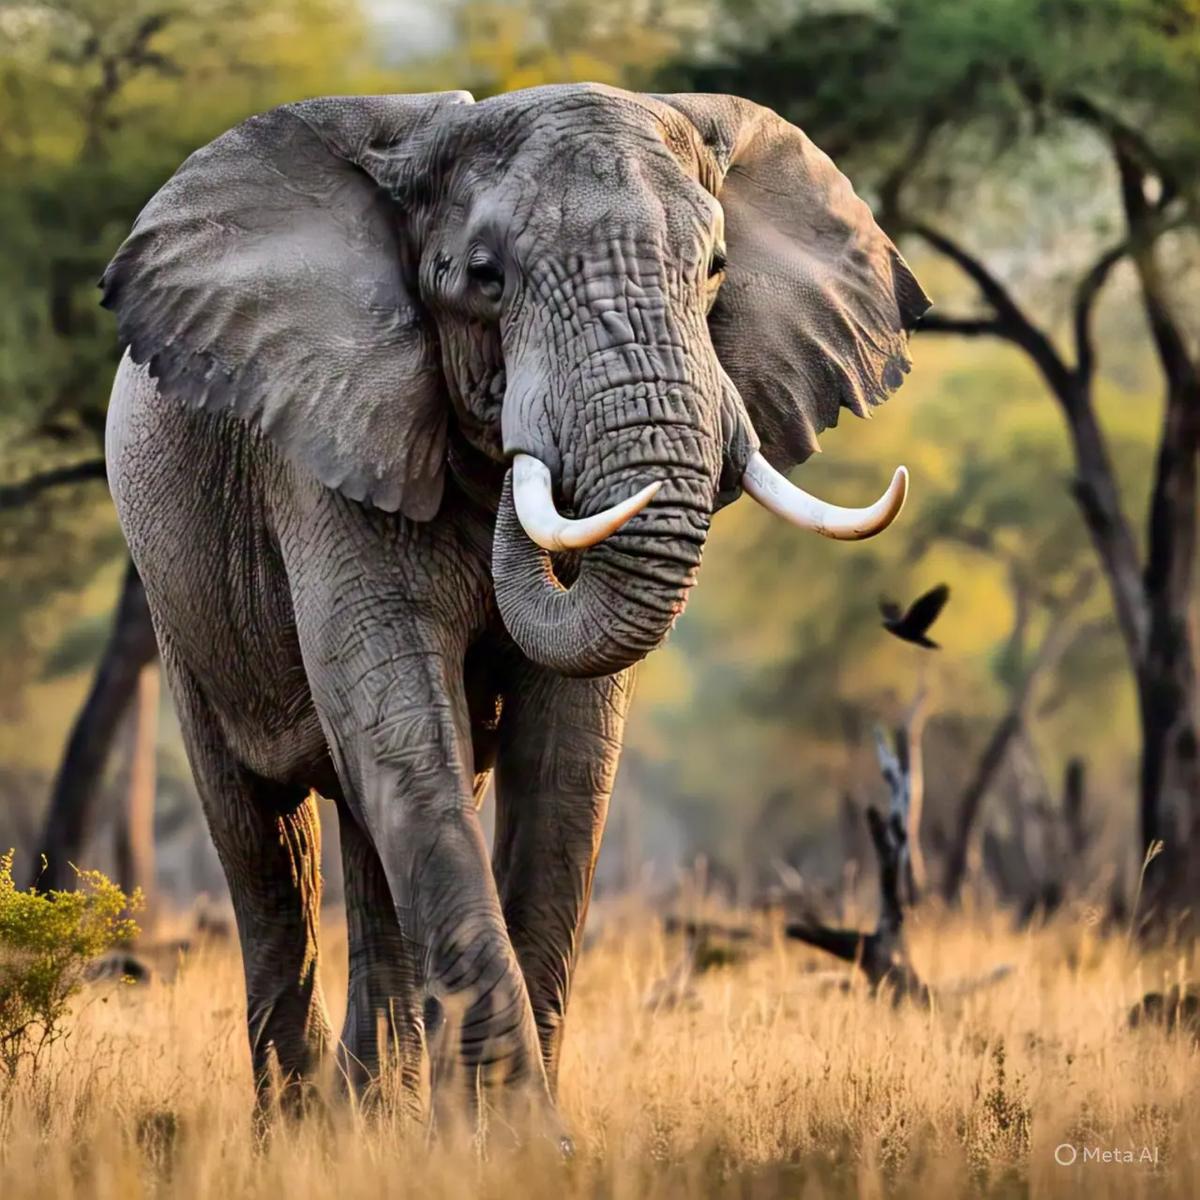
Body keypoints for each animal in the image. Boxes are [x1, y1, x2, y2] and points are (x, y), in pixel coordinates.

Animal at [101, 83, 928, 1132]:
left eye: (715, 271)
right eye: (484, 278)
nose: (515, 453)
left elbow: (564, 761)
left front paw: (502, 1137)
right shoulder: (324, 443)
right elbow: (402, 729)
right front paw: (513, 1137)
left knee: (371, 829)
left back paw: (373, 1116)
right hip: (177, 594)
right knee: (266, 837)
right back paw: (299, 1127)